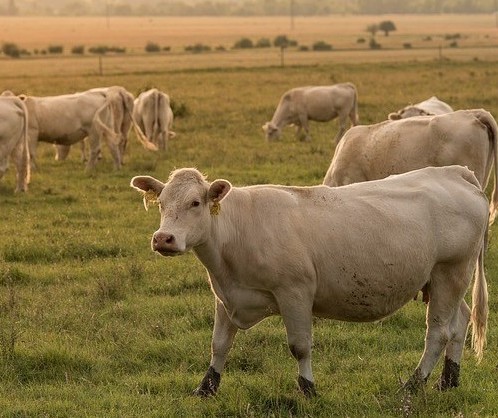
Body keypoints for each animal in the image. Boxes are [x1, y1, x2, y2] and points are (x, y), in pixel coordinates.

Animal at [130, 165, 488, 396]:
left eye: (195, 202)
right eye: (161, 204)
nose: (163, 239)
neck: (237, 230)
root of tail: (455, 172)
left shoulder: (295, 293)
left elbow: (300, 347)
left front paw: (308, 390)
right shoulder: (226, 296)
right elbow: (219, 345)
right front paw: (206, 387)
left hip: (450, 272)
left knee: (438, 333)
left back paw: (413, 385)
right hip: (445, 281)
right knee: (460, 322)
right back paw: (448, 381)